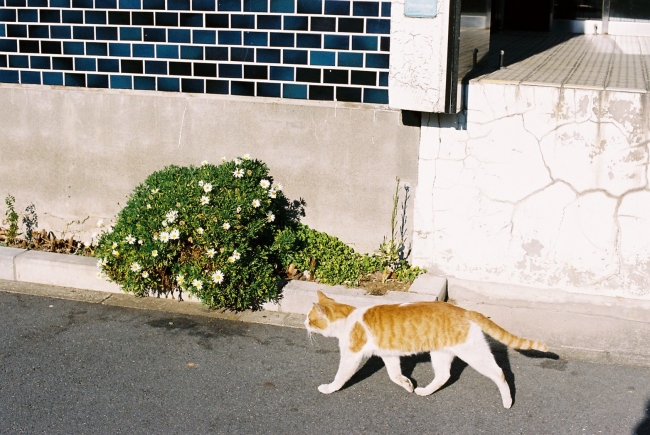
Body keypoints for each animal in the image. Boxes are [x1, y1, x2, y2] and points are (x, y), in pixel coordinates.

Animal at [302, 292, 540, 410]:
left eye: (310, 319)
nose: (304, 323)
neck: (348, 318)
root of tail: (464, 310)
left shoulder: (351, 356)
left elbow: (340, 376)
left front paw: (329, 388)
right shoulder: (389, 354)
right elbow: (394, 375)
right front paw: (407, 384)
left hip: (474, 353)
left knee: (500, 373)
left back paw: (508, 401)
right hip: (440, 353)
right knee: (444, 375)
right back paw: (424, 391)